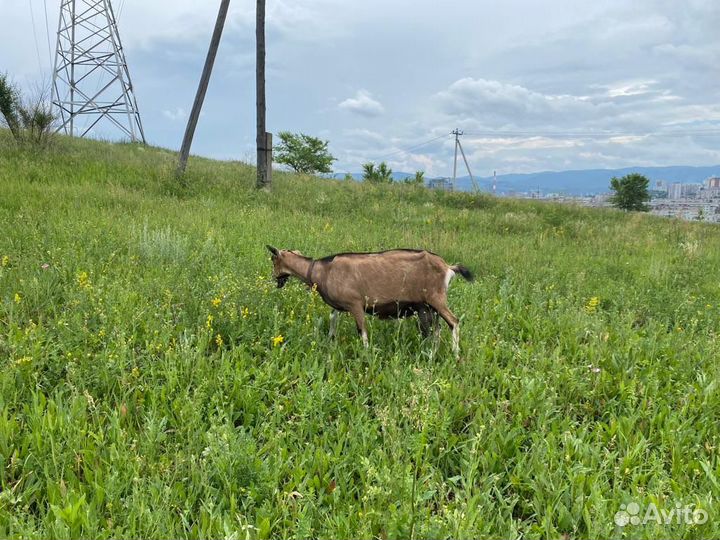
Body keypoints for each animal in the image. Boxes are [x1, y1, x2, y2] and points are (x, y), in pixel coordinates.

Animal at [266, 246, 474, 356]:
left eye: (273, 260)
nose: (275, 278)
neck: (321, 270)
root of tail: (448, 267)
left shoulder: (355, 304)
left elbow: (362, 331)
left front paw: (366, 356)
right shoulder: (338, 306)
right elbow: (333, 323)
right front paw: (329, 344)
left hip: (436, 299)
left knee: (453, 322)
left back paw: (454, 354)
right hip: (425, 306)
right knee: (435, 329)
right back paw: (431, 354)